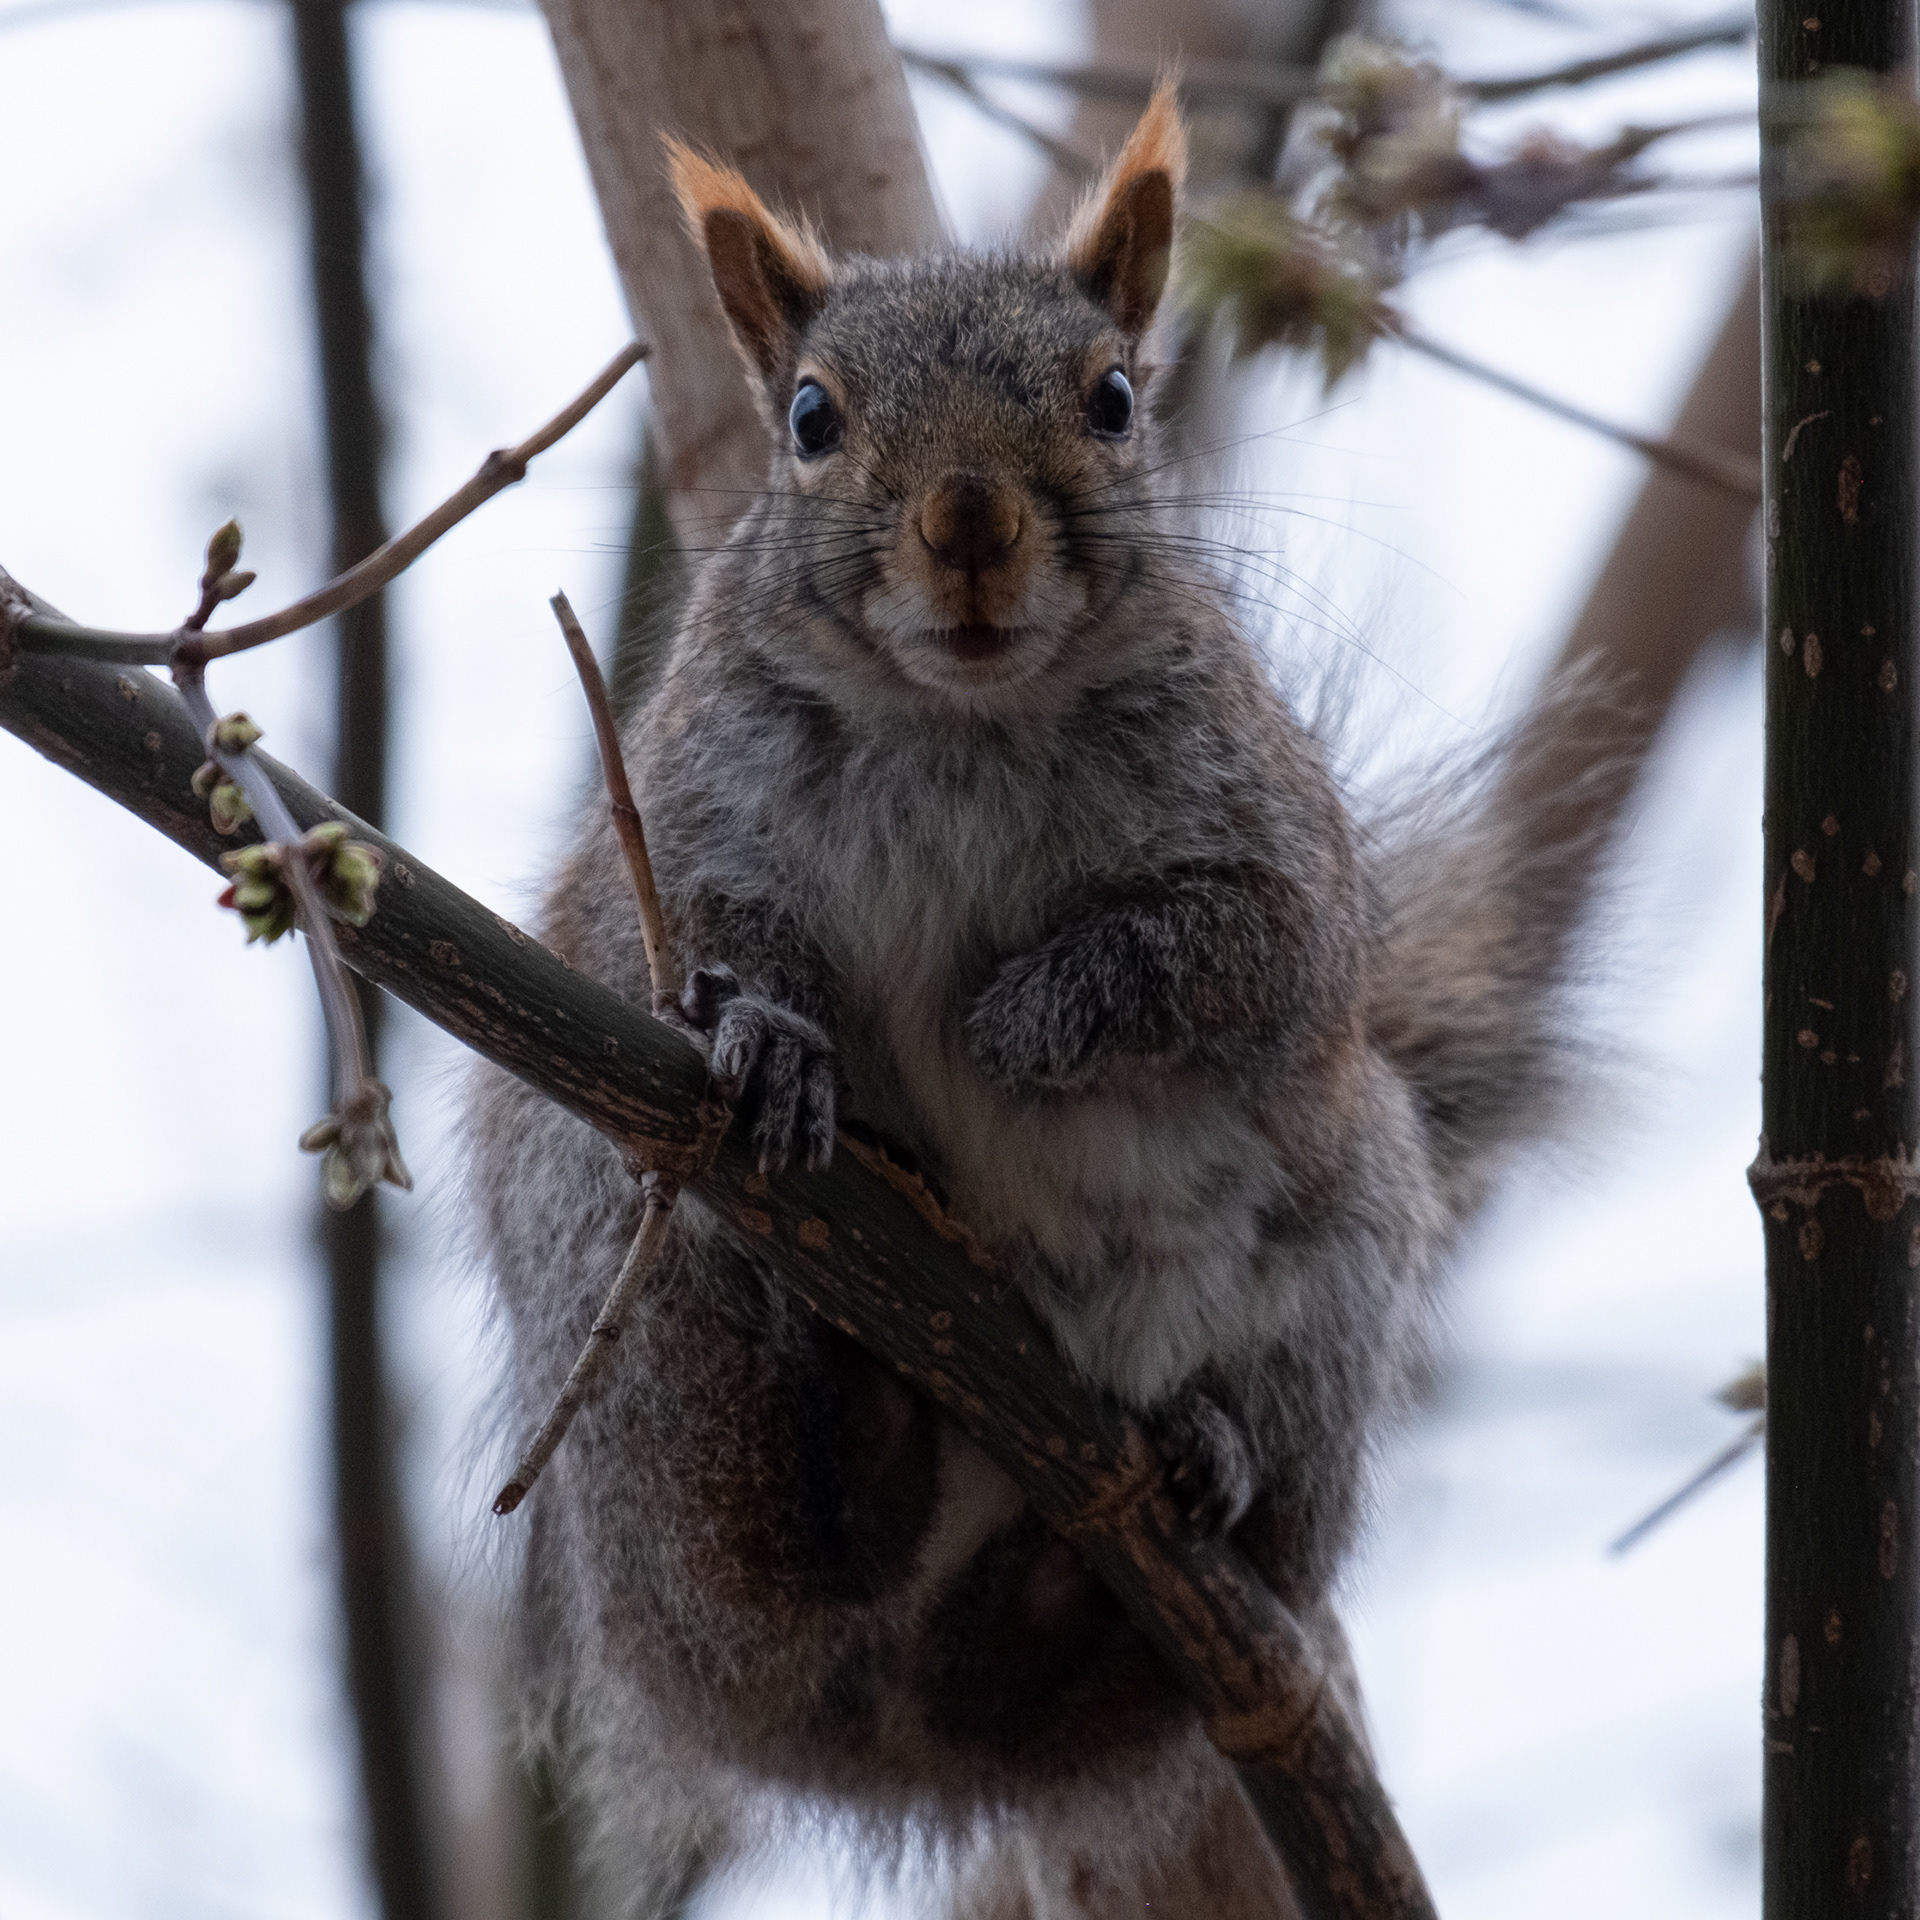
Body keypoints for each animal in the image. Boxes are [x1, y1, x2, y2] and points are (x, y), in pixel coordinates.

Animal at [470, 84, 1587, 1916]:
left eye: (1116, 398)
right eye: (810, 417)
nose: (971, 520)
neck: (965, 717)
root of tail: (881, 1744)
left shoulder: (1273, 868)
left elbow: (1227, 963)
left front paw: (1021, 1023)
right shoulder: (691, 834)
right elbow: (691, 952)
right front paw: (779, 1042)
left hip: (1343, 1252)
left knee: (1068, 1649)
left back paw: (1165, 1497)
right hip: (633, 1334)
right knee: (775, 1550)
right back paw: (856, 1409)